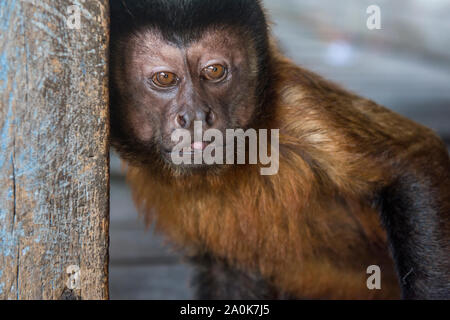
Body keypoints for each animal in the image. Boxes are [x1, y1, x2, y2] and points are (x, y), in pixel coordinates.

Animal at [109, 0, 450, 300]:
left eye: (215, 71)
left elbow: (409, 165)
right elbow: (227, 271)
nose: (194, 115)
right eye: (164, 78)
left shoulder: (296, 103)